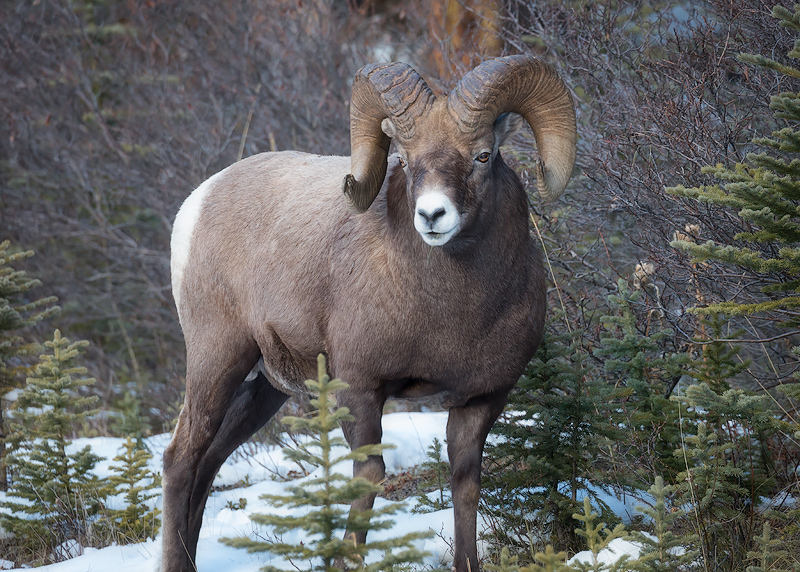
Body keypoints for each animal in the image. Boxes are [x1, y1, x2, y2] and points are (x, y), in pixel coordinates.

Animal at [164, 54, 576, 572]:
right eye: (406, 159)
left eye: (483, 155)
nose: (432, 216)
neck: (451, 312)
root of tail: (197, 202)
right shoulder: (359, 388)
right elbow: (368, 476)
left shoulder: (482, 398)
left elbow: (466, 482)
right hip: (217, 357)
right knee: (182, 458)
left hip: (267, 387)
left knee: (210, 460)